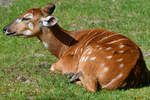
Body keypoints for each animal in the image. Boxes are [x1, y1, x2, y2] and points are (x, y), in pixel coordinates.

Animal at [2, 3, 149, 92]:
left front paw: (70, 75)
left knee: (92, 86)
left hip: (89, 56)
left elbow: (52, 67)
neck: (64, 48)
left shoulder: (65, 63)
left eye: (26, 18)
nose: (5, 29)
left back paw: (72, 77)